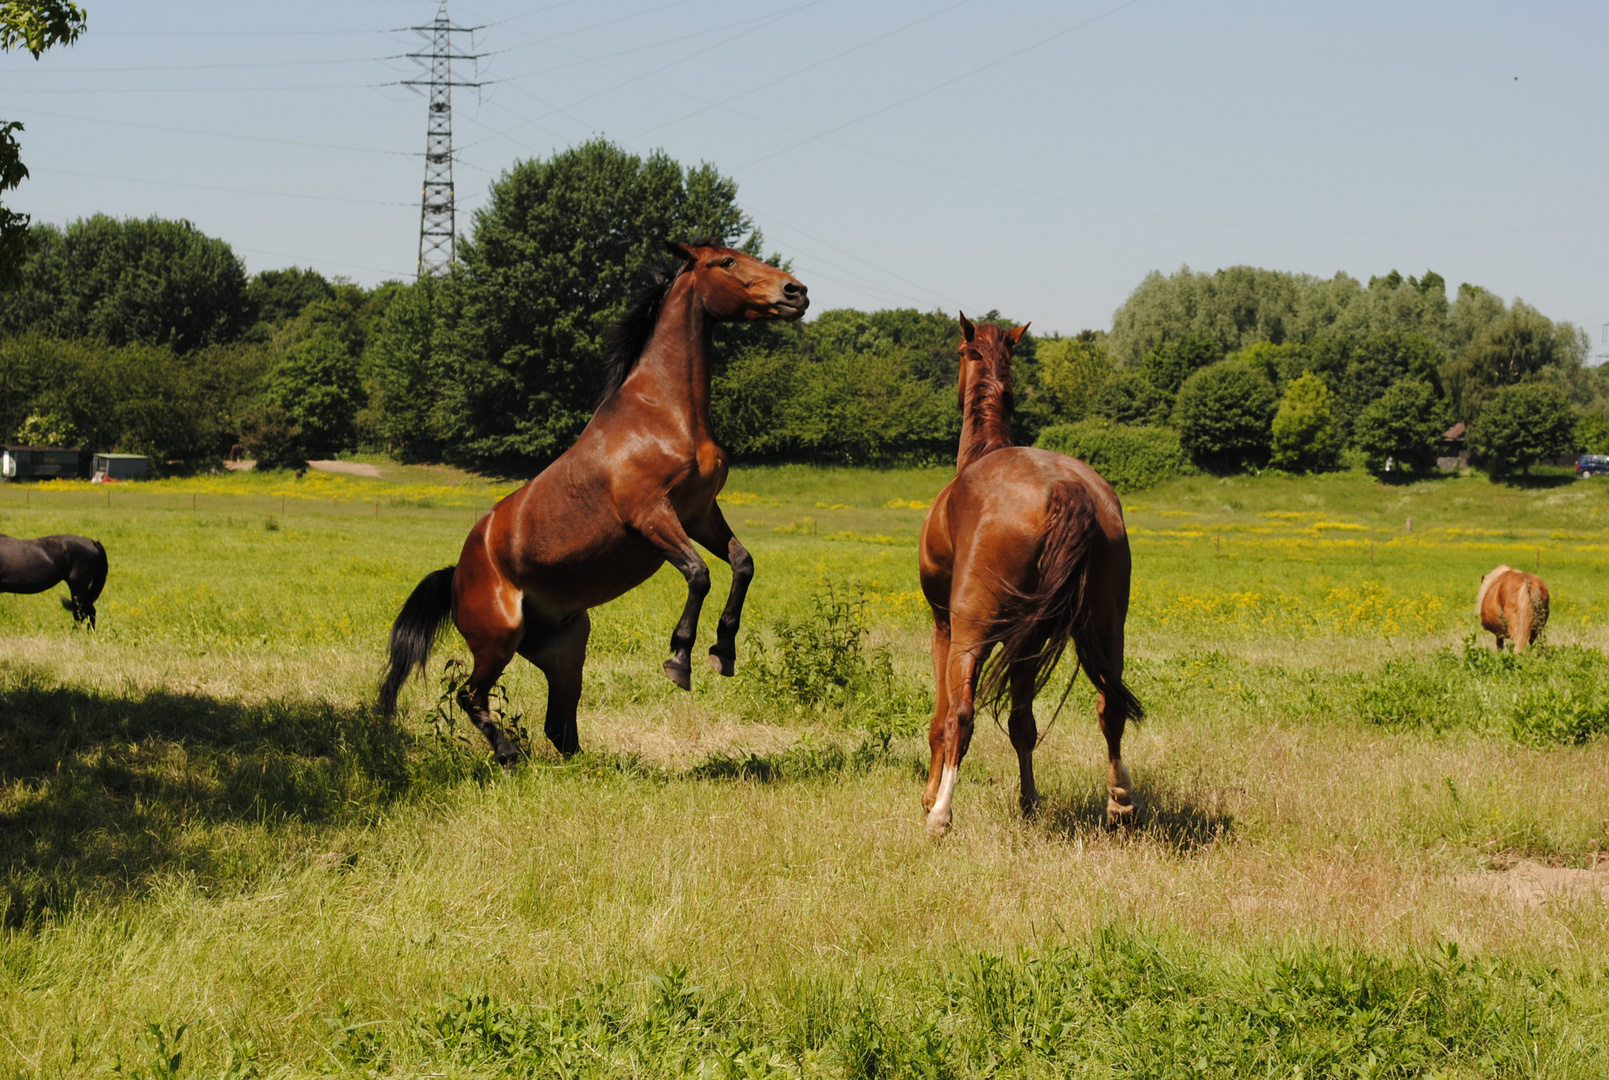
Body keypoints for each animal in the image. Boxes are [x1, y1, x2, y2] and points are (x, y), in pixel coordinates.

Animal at [376, 238, 804, 759]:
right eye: (726, 262)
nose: (796, 292)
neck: (664, 414)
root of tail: (455, 574)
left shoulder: (701, 514)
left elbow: (742, 563)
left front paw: (723, 651)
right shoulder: (651, 516)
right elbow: (698, 574)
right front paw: (680, 658)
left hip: (565, 647)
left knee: (557, 725)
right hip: (499, 640)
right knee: (469, 695)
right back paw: (509, 754)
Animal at [920, 312, 1145, 836]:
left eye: (957, 354)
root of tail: (1066, 487)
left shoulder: (943, 628)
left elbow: (941, 720)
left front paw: (928, 797)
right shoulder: (1027, 643)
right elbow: (1023, 725)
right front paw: (1030, 801)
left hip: (971, 633)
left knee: (961, 715)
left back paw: (942, 816)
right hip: (1106, 628)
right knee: (1110, 707)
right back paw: (1119, 800)